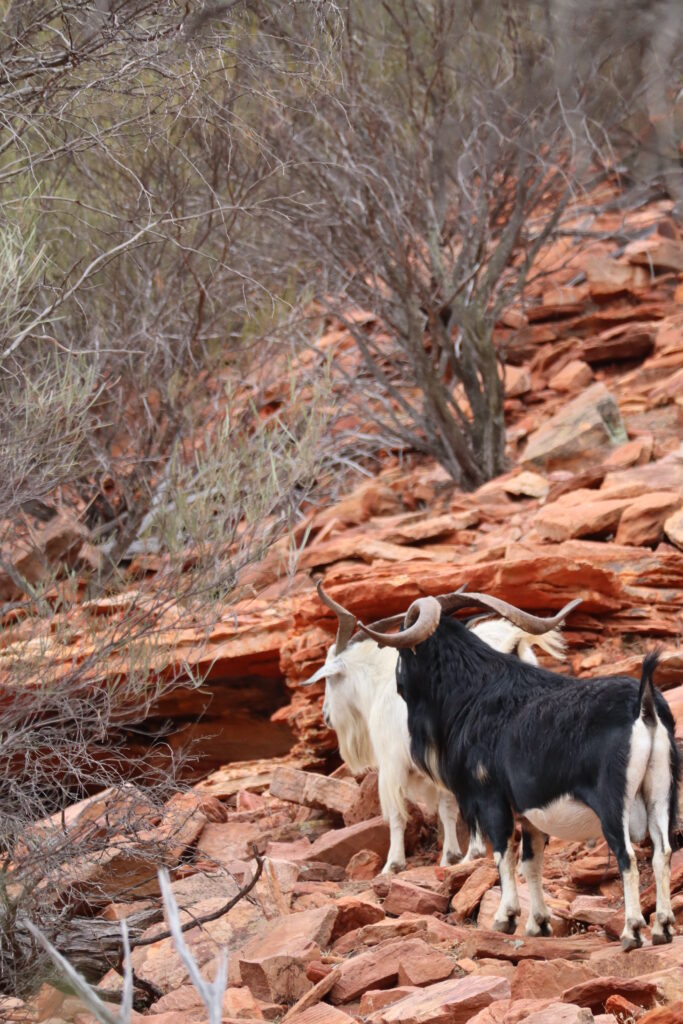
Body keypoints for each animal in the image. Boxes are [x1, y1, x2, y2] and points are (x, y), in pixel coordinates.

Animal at [305, 585, 565, 872]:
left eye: (330, 679)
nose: (326, 715)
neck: (377, 684)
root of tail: (513, 643)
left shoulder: (393, 764)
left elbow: (397, 814)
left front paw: (392, 864)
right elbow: (447, 807)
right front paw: (449, 855)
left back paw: (475, 852)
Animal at [356, 593, 679, 950]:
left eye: (402, 648)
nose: (398, 683)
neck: (473, 695)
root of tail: (643, 705)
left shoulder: (491, 798)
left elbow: (502, 853)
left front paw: (505, 918)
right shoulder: (529, 814)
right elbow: (531, 862)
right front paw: (538, 924)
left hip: (614, 801)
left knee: (628, 857)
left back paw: (632, 931)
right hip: (660, 793)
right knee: (662, 852)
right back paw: (663, 928)